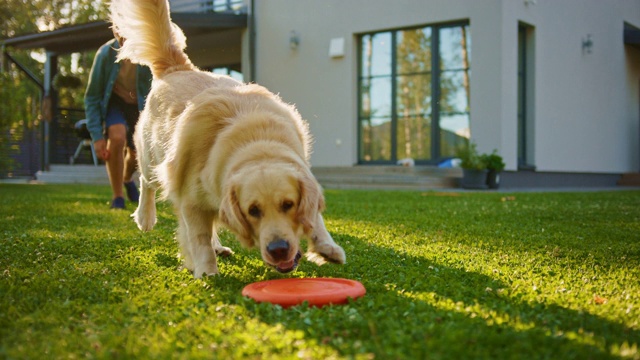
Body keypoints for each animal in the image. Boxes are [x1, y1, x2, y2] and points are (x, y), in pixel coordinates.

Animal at [112, 0, 348, 278]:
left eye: (288, 204)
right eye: (253, 211)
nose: (278, 249)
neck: (256, 142)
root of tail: (178, 67)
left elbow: (316, 217)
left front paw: (327, 247)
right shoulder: (191, 199)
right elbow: (199, 237)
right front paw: (207, 273)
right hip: (151, 156)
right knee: (147, 183)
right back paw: (145, 217)